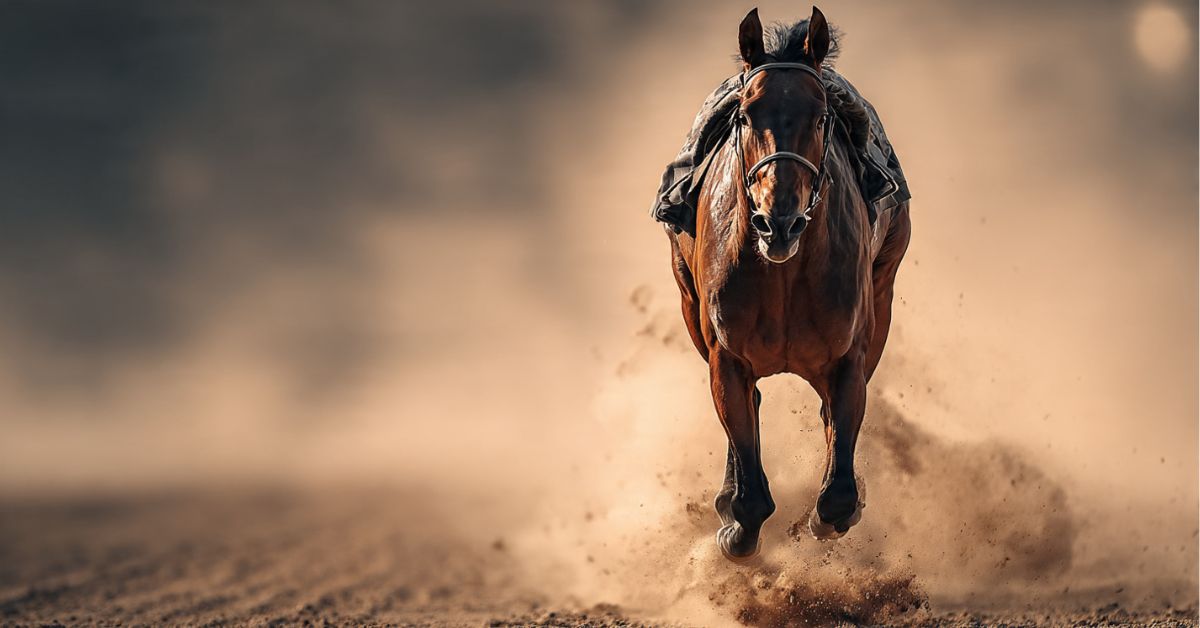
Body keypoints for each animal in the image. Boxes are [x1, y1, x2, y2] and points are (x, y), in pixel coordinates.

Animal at [665, 6, 911, 560]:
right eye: (745, 114)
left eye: (820, 116)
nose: (779, 222)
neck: (781, 276)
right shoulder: (725, 355)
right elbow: (748, 479)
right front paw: (734, 523)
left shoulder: (850, 354)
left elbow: (837, 494)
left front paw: (828, 515)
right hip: (689, 304)